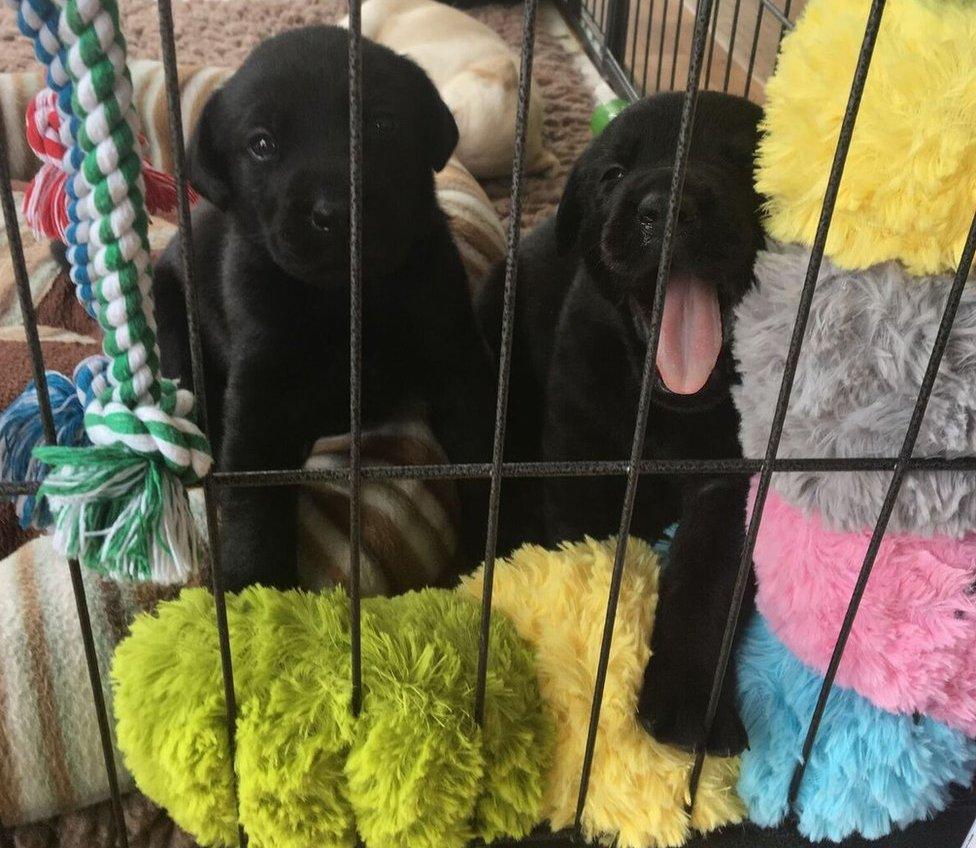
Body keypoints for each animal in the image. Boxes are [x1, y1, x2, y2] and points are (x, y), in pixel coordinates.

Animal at [156, 28, 500, 596]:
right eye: (262, 144)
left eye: (382, 125)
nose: (336, 210)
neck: (343, 298)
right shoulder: (262, 391)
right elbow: (254, 492)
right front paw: (252, 588)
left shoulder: (456, 359)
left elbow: (482, 458)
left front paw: (501, 549)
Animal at [476, 93, 768, 756]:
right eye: (612, 175)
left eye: (746, 167)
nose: (669, 207)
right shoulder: (582, 457)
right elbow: (585, 558)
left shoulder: (732, 487)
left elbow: (707, 582)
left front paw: (687, 705)